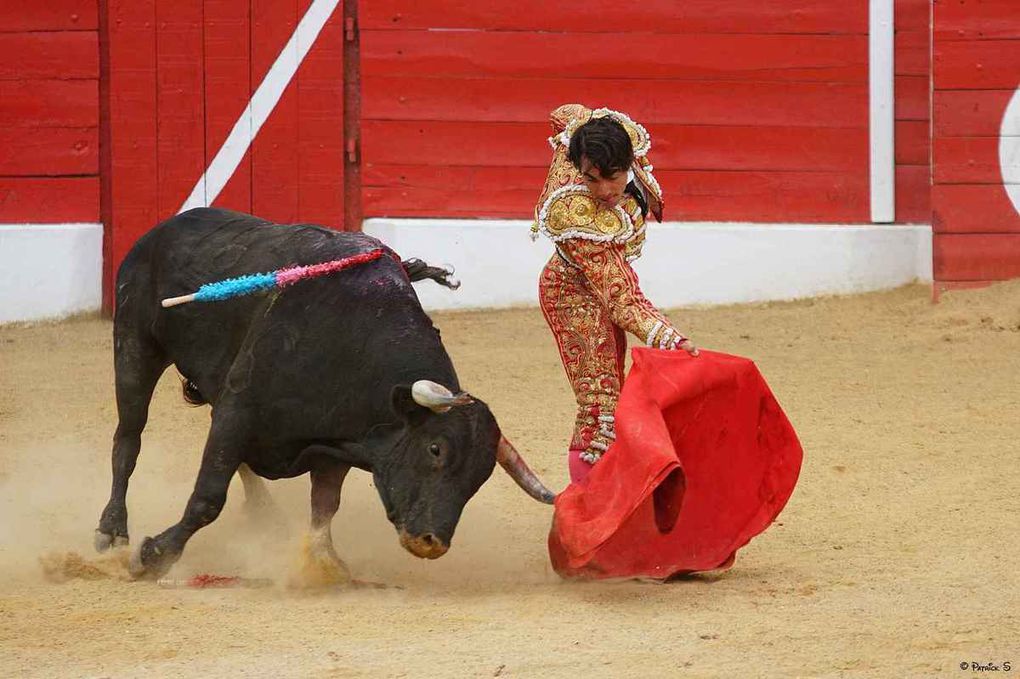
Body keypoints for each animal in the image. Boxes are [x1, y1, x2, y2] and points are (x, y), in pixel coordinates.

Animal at [94, 207, 554, 575]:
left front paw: (325, 565)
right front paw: (154, 555)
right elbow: (208, 496)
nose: (431, 543)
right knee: (128, 438)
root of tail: (166, 227)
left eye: (480, 475)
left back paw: (263, 516)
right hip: (135, 345)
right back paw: (112, 532)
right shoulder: (240, 409)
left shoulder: (335, 440)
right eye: (435, 449)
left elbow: (324, 506)